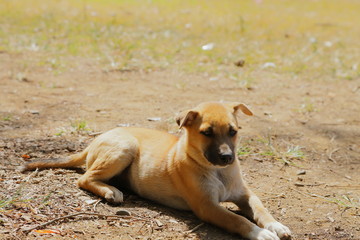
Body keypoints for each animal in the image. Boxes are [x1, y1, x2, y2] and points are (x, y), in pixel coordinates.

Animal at [21, 102, 290, 239]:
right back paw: (110, 191)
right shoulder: (207, 206)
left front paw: (276, 226)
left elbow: (261, 209)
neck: (218, 172)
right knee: (85, 178)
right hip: (124, 147)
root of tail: (93, 142)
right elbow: (236, 219)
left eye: (233, 131)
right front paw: (260, 234)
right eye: (206, 133)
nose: (226, 157)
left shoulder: (246, 194)